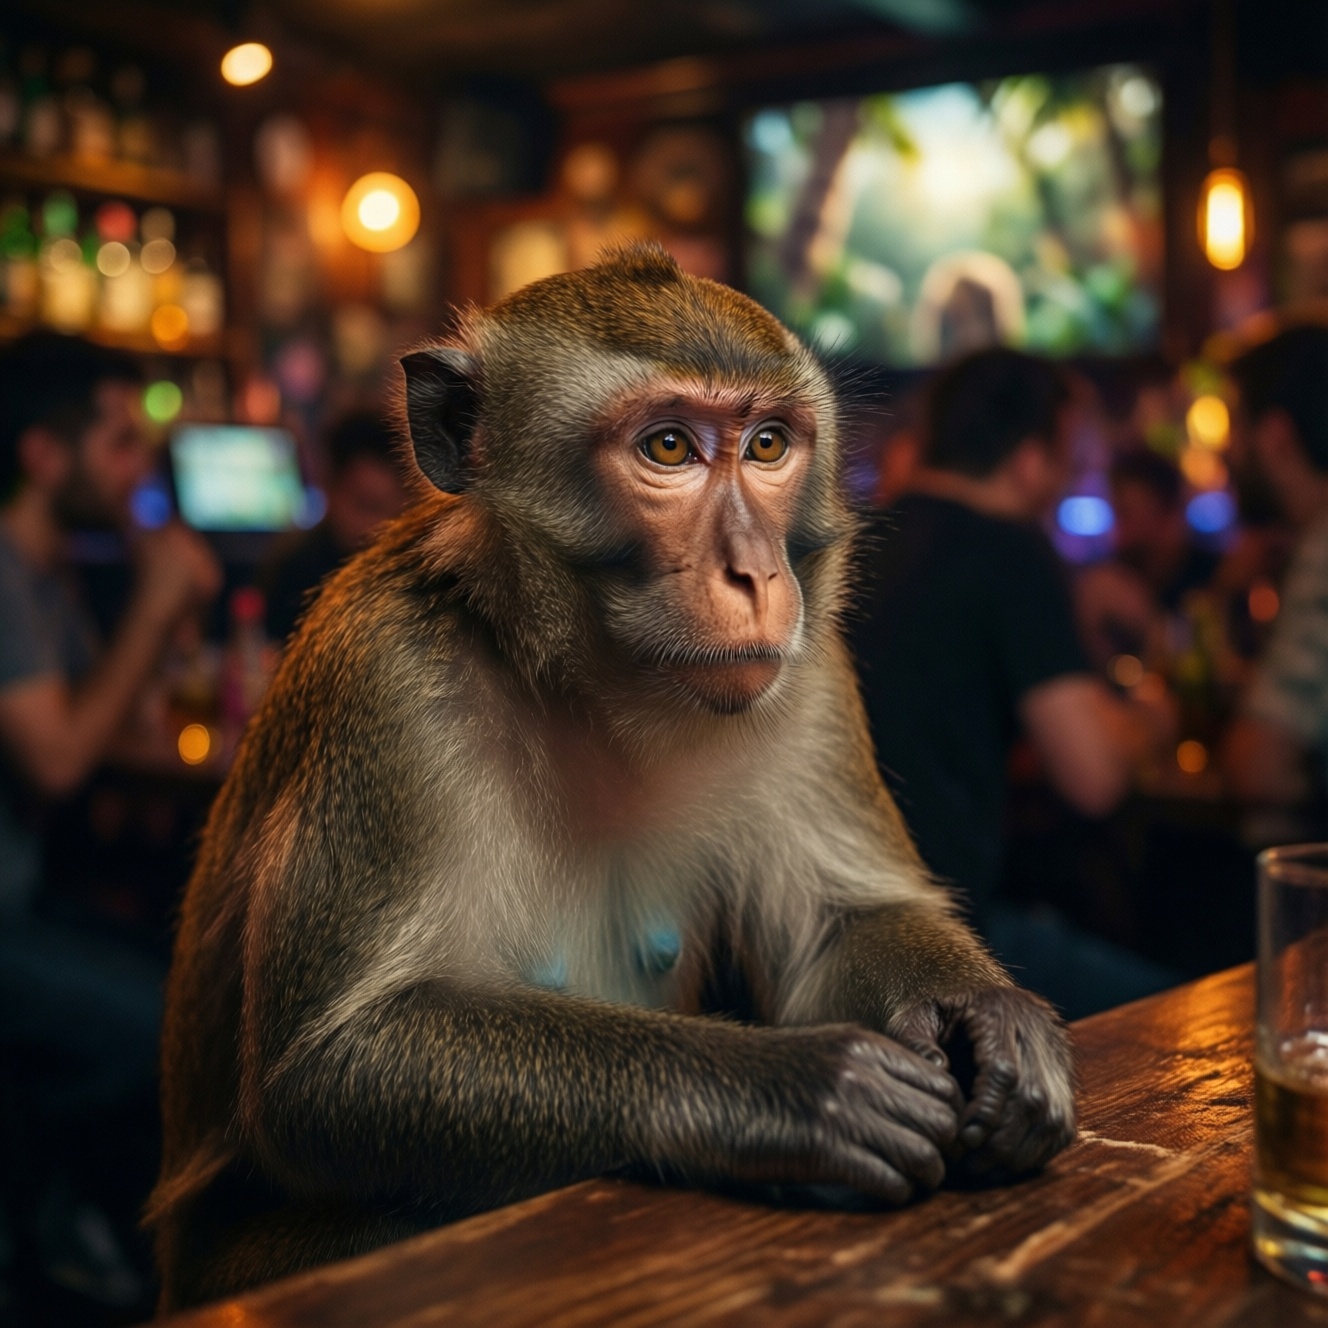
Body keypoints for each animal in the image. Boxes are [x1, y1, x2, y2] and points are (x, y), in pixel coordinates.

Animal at [147, 244, 1075, 1311]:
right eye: (668, 448)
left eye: (767, 445)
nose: (757, 574)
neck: (590, 688)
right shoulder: (383, 679)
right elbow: (330, 1069)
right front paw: (797, 1088)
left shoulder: (806, 675)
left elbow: (844, 924)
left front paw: (988, 1018)